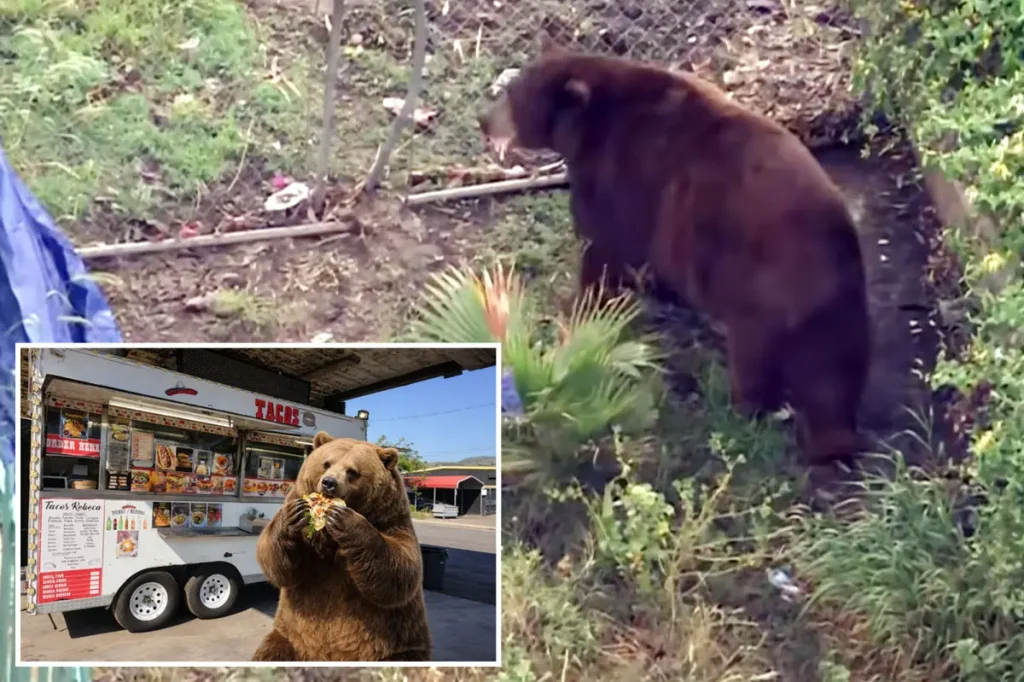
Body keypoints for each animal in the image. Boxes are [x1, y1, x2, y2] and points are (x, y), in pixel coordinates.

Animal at [251, 432, 431, 662]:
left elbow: (402, 570)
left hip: (397, 646)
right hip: (290, 636)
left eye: (352, 471)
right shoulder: (310, 551)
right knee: (272, 652)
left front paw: (345, 519)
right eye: (326, 463)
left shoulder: (392, 521)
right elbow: (280, 565)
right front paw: (293, 515)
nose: (329, 482)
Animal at [478, 42, 872, 466]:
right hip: (841, 314)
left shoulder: (621, 174)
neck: (588, 127)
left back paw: (740, 409)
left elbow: (603, 248)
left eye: (512, 94)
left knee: (755, 360)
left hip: (760, 293)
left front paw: (583, 308)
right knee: (833, 377)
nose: (483, 120)